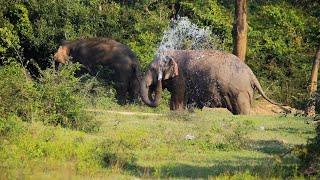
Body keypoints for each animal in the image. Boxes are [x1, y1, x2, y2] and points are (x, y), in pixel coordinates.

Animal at [140, 48, 282, 115]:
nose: (157, 81)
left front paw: (176, 113)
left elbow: (177, 99)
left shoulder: (180, 79)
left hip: (240, 91)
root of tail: (251, 74)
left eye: (152, 69)